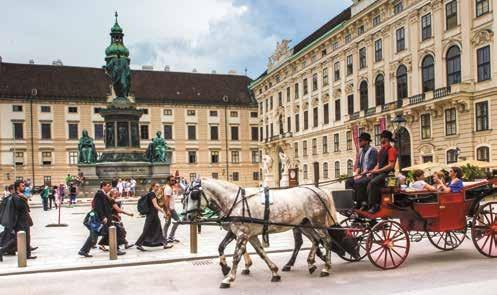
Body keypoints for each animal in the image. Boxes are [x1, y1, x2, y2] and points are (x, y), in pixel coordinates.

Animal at [184, 178, 340, 290]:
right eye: (184, 198)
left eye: (194, 195)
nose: (188, 217)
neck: (236, 202)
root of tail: (318, 190)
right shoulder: (245, 234)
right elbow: (259, 252)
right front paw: (274, 272)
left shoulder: (242, 234)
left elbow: (236, 257)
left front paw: (229, 278)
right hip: (304, 224)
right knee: (315, 240)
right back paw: (311, 263)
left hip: (317, 223)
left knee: (326, 241)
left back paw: (326, 267)